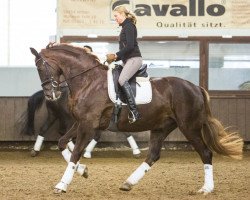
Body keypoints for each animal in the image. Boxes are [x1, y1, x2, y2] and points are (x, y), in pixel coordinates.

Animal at [30, 43, 243, 195]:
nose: (51, 95)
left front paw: (62, 184)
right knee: (153, 155)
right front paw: (83, 170)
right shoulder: (82, 122)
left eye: (41, 67)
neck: (88, 81)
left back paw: (206, 189)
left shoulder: (88, 124)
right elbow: (62, 142)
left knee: (206, 153)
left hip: (189, 127)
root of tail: (196, 87)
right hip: (161, 127)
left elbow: (75, 153)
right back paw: (128, 183)